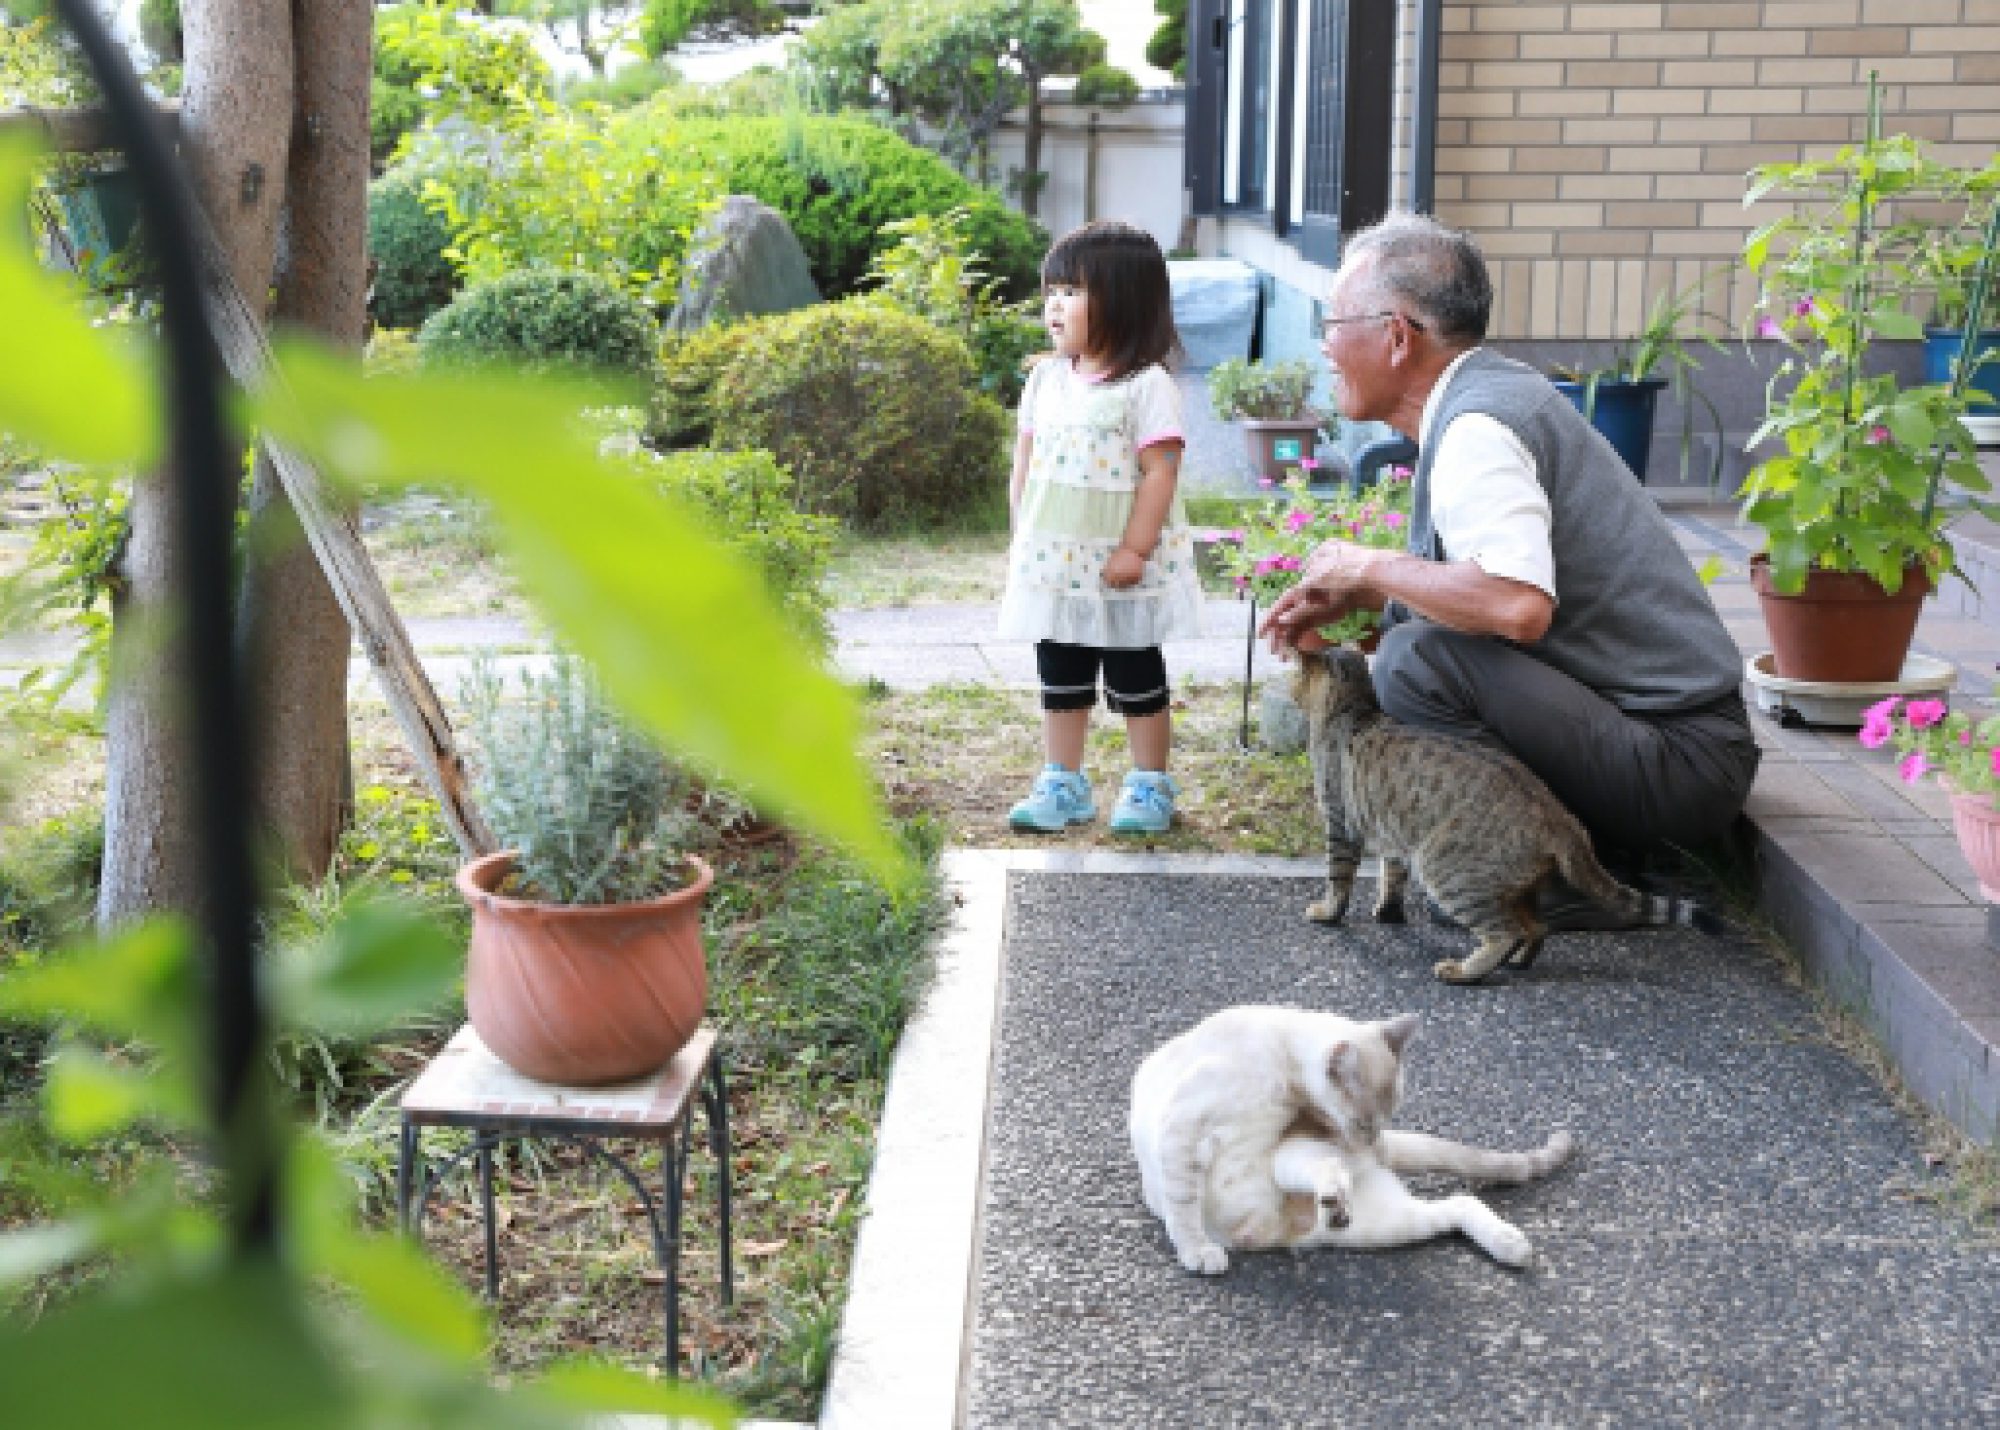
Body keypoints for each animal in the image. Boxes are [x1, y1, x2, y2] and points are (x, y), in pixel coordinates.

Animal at [1128, 1008, 1576, 1272]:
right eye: (1363, 1123)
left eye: (1384, 1119)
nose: (1369, 1143)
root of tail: (1267, 1233)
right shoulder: (1183, 1132)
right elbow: (1183, 1206)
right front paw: (1197, 1251)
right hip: (1370, 1220)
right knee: (1455, 1204)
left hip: (1307, 1172)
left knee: (1458, 1201)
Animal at [1296, 648, 1720, 984]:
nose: (1290, 683)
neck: (1354, 710)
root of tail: (1559, 816)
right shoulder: (1393, 834)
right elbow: (1391, 876)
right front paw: (1386, 911)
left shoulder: (1340, 822)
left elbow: (1338, 879)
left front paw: (1328, 912)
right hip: (1514, 885)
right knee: (1535, 927)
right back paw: (1518, 961)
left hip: (1447, 870)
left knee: (1504, 931)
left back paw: (1464, 971)